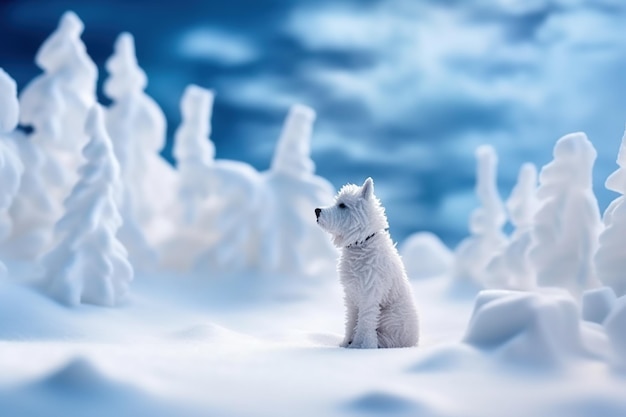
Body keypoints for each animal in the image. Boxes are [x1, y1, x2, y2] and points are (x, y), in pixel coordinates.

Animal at [314, 177, 416, 346]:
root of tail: (414, 341)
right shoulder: (351, 295)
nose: (317, 210)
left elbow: (364, 322)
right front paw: (346, 344)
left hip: (389, 316)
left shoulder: (369, 294)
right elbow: (351, 321)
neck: (361, 243)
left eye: (342, 205)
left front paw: (361, 346)